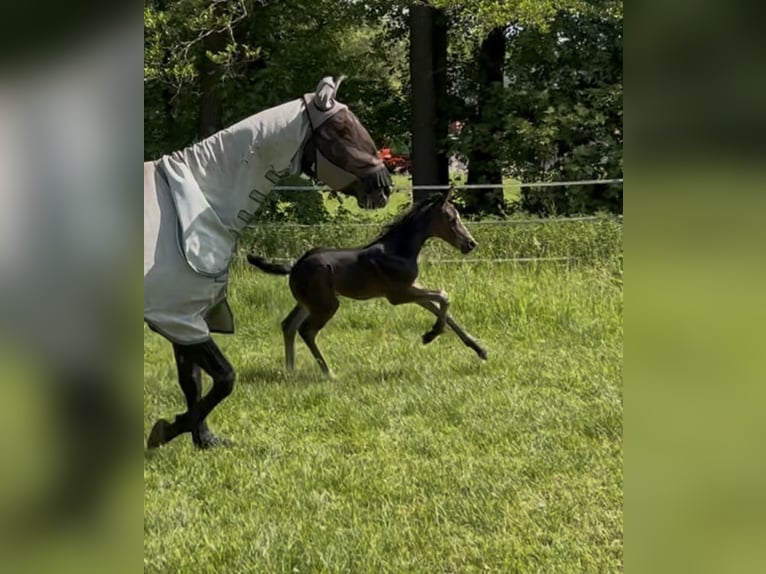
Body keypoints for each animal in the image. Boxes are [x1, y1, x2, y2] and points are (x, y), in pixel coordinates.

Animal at [144, 77, 392, 449]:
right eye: (343, 129)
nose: (385, 187)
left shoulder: (186, 317)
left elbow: (193, 382)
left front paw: (203, 439)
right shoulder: (176, 317)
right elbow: (225, 378)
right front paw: (166, 430)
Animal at [246, 188, 488, 376]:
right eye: (451, 219)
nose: (471, 244)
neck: (399, 250)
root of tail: (295, 266)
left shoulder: (414, 289)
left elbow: (443, 310)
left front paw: (479, 349)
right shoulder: (399, 294)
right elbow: (444, 296)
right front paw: (431, 335)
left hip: (308, 302)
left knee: (289, 325)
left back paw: (290, 370)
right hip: (327, 304)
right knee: (306, 331)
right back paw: (328, 373)